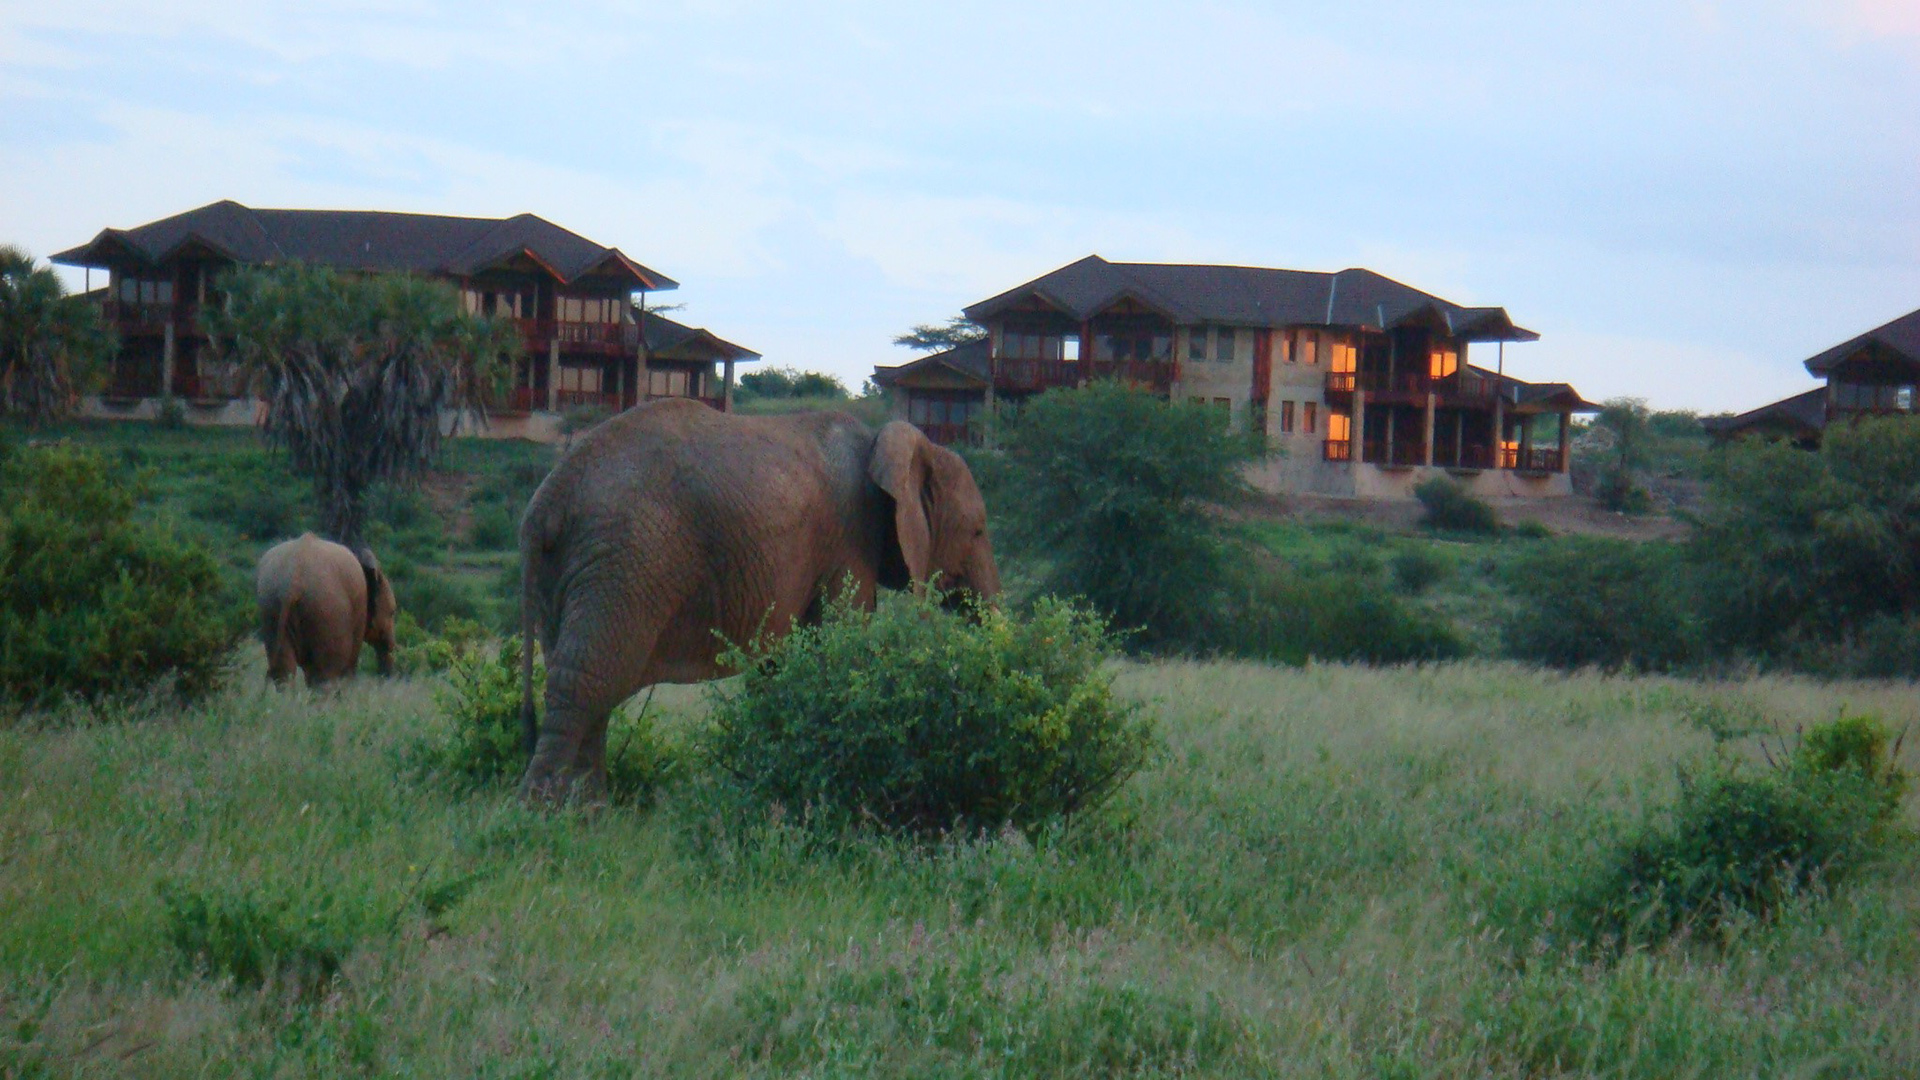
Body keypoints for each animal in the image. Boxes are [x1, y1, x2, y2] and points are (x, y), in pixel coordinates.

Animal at [256, 533, 397, 687]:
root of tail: (293, 582)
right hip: (327, 612)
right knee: (325, 676)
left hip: (272, 606)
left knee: (285, 672)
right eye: (392, 612)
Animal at [517, 398, 1001, 802]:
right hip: (625, 561)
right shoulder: (850, 539)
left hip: (573, 569)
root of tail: (545, 502)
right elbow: (839, 644)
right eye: (978, 530)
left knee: (586, 679)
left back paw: (588, 814)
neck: (892, 444)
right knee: (586, 680)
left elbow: (783, 664)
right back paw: (541, 814)